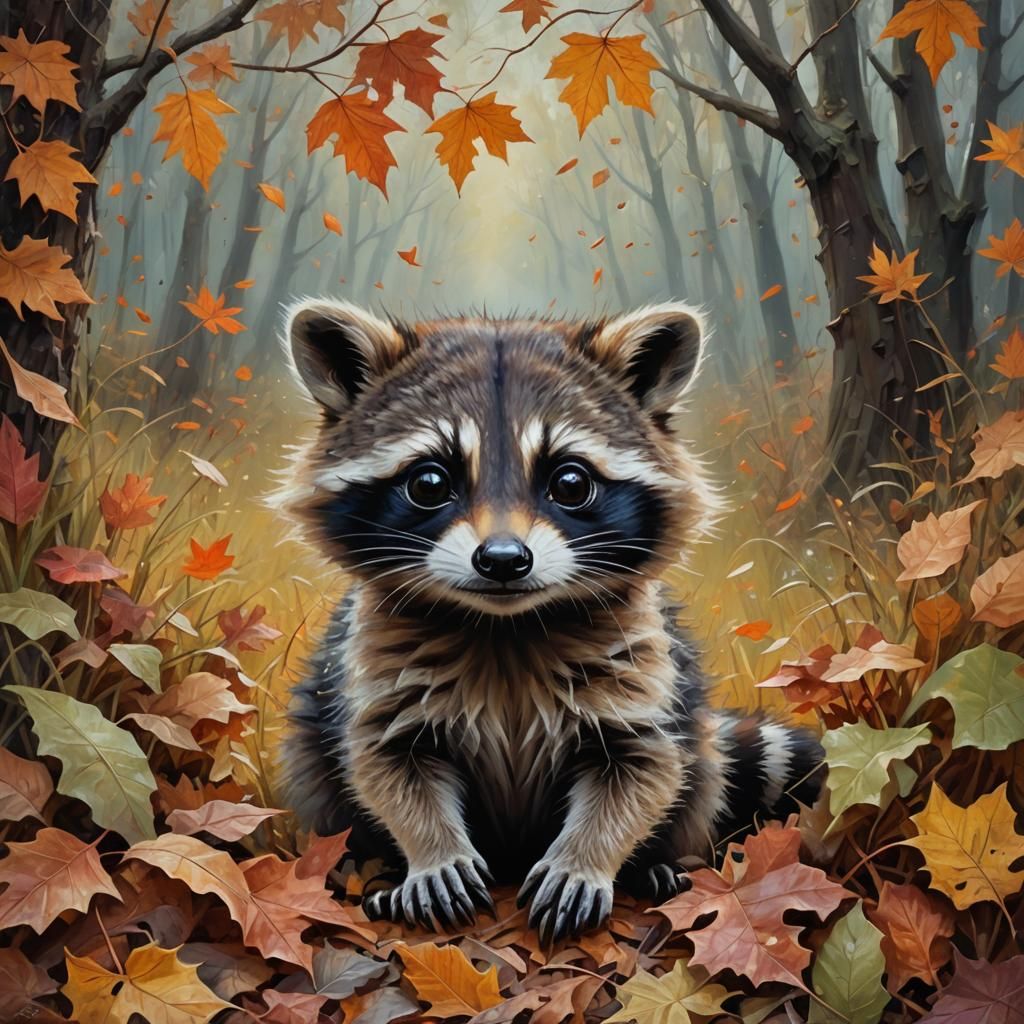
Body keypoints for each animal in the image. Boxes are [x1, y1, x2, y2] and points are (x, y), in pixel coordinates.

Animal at [277, 299, 823, 944]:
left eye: (570, 481)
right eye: (430, 482)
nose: (502, 559)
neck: (504, 625)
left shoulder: (642, 662)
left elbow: (642, 769)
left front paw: (585, 859)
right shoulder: (375, 662)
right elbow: (387, 762)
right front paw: (433, 851)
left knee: (698, 774)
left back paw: (655, 865)